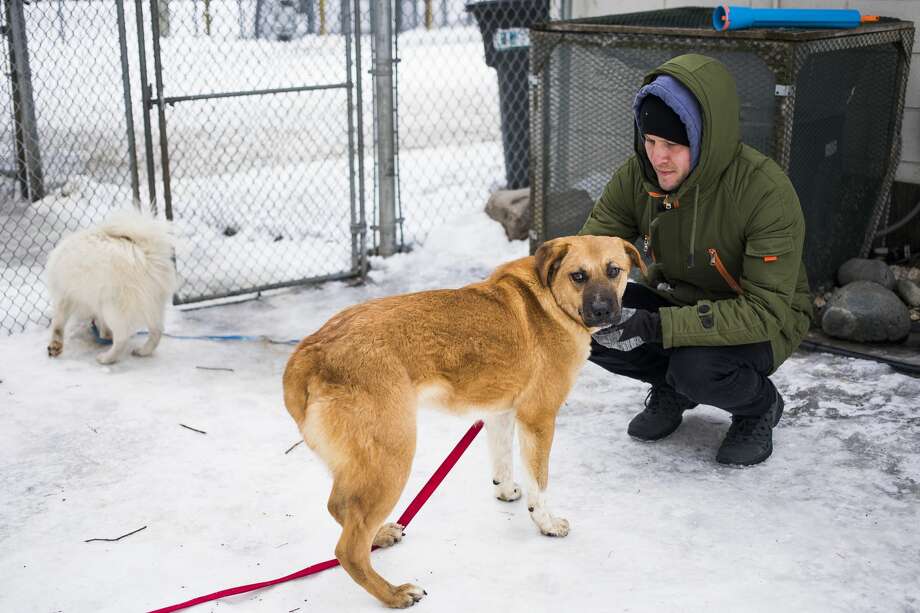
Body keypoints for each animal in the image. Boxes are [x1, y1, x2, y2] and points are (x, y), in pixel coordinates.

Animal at [45, 209, 178, 364]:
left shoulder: (65, 296)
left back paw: (106, 358)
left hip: (112, 307)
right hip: (153, 305)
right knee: (157, 331)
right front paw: (106, 335)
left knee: (122, 339)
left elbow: (58, 324)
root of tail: (146, 254)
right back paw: (142, 351)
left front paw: (55, 346)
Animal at [282, 235, 648, 608]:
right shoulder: (539, 417)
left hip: (363, 464)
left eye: (614, 271)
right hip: (392, 457)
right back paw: (394, 593)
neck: (551, 302)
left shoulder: (500, 412)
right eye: (578, 276)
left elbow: (502, 462)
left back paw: (380, 536)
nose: (603, 311)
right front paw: (545, 523)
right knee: (348, 548)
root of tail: (310, 351)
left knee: (342, 511)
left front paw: (506, 491)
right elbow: (540, 485)